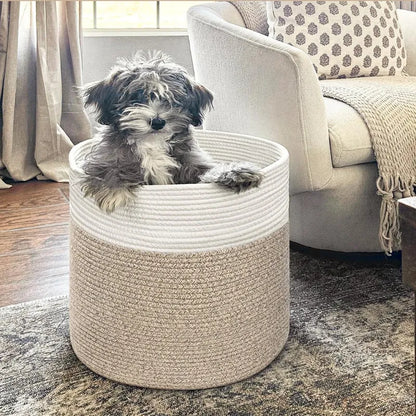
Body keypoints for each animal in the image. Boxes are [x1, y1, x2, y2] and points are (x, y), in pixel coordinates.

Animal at [81, 52, 264, 213]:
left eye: (172, 100)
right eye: (136, 97)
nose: (157, 122)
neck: (152, 142)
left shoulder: (191, 162)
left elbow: (207, 170)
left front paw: (236, 172)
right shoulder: (108, 158)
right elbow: (109, 169)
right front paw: (114, 191)